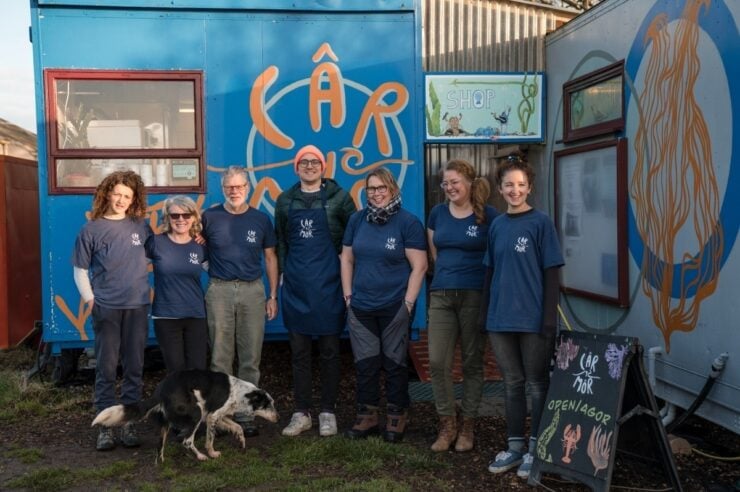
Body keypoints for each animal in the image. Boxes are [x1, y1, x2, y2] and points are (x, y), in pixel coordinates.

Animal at [91, 370, 278, 464]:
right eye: (268, 405)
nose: (278, 418)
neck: (239, 392)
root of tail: (160, 391)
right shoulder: (211, 416)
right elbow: (210, 440)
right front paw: (212, 453)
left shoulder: (216, 415)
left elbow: (238, 427)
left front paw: (241, 441)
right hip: (196, 413)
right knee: (187, 441)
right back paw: (201, 457)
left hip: (167, 423)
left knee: (160, 446)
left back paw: (162, 462)